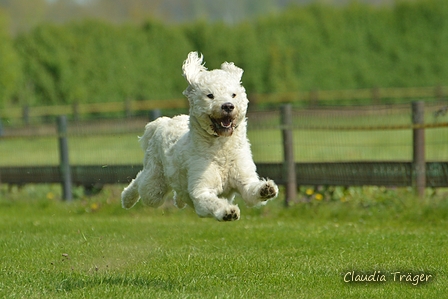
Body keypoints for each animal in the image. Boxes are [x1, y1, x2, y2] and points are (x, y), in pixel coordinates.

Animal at [121, 51, 278, 221]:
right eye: (210, 95)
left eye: (233, 95)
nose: (228, 106)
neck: (221, 150)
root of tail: (163, 122)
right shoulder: (201, 190)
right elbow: (212, 202)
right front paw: (227, 211)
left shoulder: (244, 179)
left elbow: (251, 191)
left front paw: (266, 189)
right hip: (154, 185)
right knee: (141, 182)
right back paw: (127, 199)